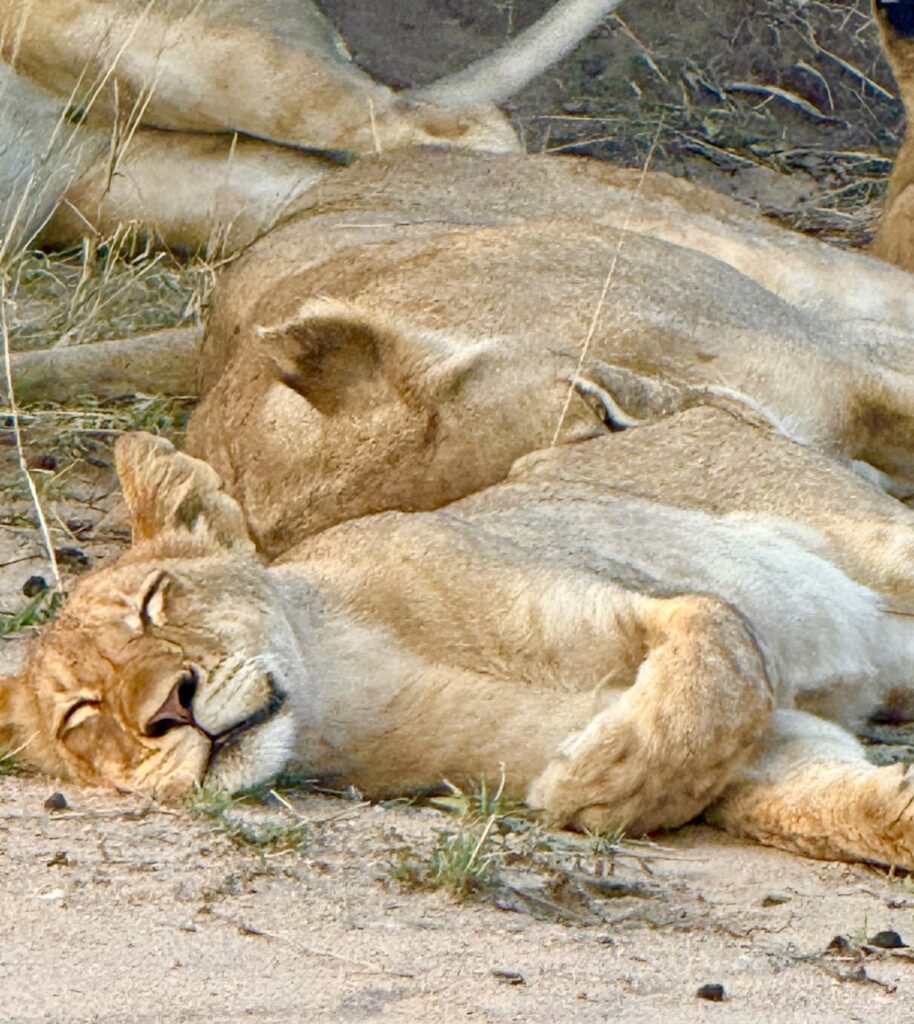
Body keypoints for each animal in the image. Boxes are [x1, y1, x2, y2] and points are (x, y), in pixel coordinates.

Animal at [7, 405, 914, 869]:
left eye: (156, 602)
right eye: (83, 713)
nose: (171, 709)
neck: (349, 685)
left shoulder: (634, 595)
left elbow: (722, 649)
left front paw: (607, 777)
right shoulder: (769, 753)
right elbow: (820, 803)